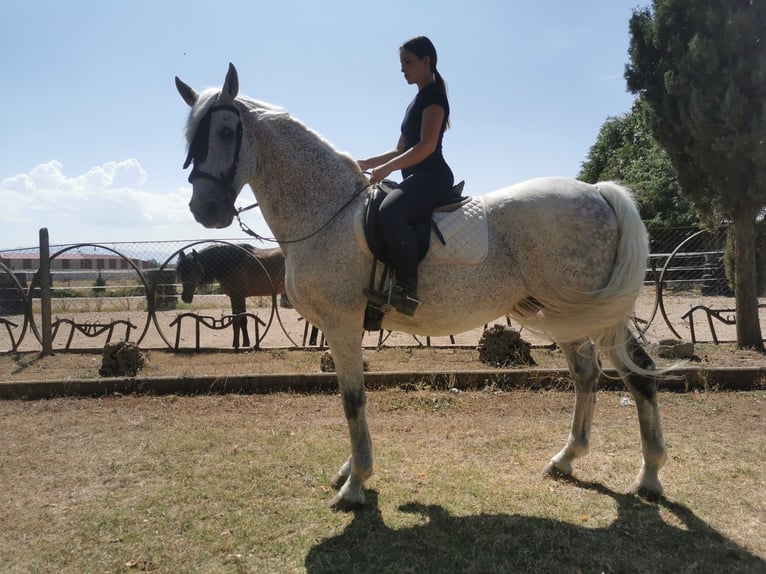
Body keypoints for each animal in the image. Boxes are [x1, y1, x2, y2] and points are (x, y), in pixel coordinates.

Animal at [177, 64, 668, 512]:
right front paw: (349, 470)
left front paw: (355, 483)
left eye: (225, 131)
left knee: (638, 372)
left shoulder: (341, 322)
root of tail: (598, 192)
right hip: (564, 313)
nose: (205, 209)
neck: (326, 212)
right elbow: (350, 396)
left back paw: (649, 476)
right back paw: (567, 459)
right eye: (190, 138)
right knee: (587, 374)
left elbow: (352, 399)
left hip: (593, 313)